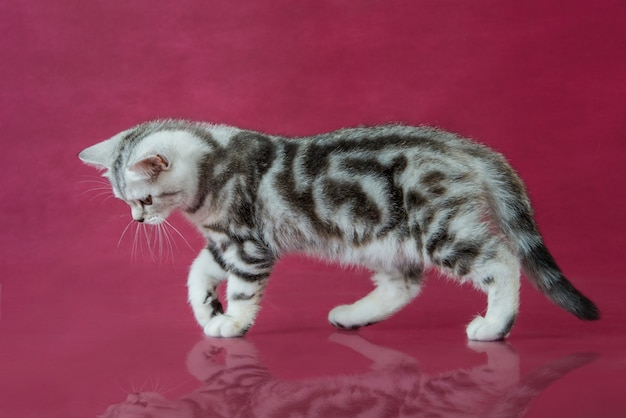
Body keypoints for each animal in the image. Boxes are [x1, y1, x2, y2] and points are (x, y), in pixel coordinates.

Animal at [78, 119, 596, 342]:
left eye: (144, 200)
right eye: (126, 202)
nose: (138, 220)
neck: (213, 163)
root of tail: (460, 145)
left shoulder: (247, 245)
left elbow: (242, 290)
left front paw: (232, 320)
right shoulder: (225, 242)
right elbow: (196, 273)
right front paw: (207, 307)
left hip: (439, 227)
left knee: (502, 261)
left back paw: (494, 325)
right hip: (385, 239)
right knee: (405, 283)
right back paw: (352, 316)